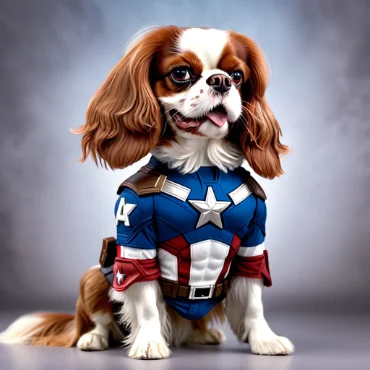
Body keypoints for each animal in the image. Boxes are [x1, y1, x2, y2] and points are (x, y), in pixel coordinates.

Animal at [0, 25, 294, 358]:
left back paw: (201, 334)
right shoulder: (136, 237)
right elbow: (147, 301)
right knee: (100, 316)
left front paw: (265, 340)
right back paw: (94, 338)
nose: (220, 81)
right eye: (180, 73)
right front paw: (150, 343)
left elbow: (254, 298)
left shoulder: (252, 242)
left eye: (237, 75)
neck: (202, 167)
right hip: (93, 276)